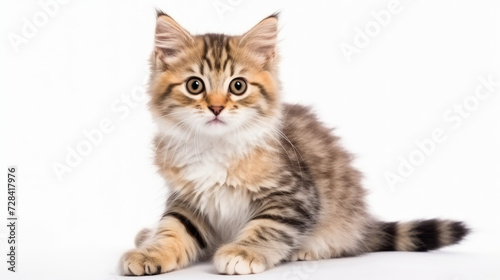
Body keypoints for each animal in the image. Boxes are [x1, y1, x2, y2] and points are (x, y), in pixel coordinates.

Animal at [120, 11, 468, 276]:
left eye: (237, 86)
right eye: (195, 86)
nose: (216, 107)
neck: (216, 147)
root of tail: (364, 223)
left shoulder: (293, 196)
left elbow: (266, 226)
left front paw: (243, 253)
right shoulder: (187, 200)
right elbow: (173, 230)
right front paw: (151, 253)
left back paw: (307, 251)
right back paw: (145, 235)